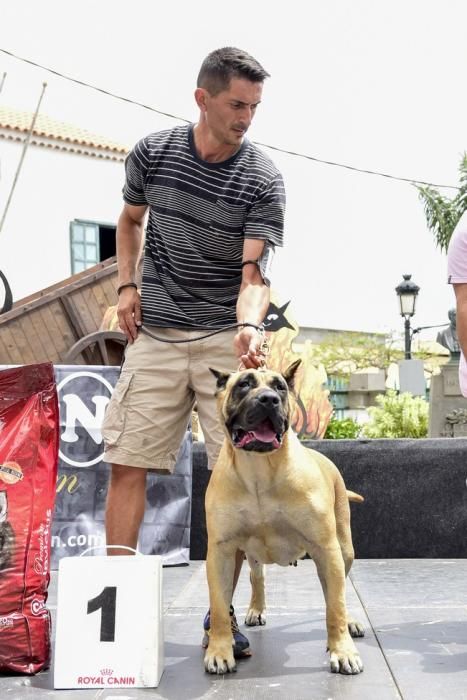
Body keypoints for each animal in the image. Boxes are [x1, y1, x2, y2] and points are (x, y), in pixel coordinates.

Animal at [205, 360, 366, 672]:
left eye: (280, 387)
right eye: (244, 384)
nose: (269, 399)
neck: (259, 469)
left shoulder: (326, 549)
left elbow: (335, 605)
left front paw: (342, 651)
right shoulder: (221, 551)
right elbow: (219, 607)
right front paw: (219, 651)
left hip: (344, 549)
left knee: (339, 591)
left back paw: (349, 623)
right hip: (249, 554)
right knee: (257, 577)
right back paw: (256, 609)